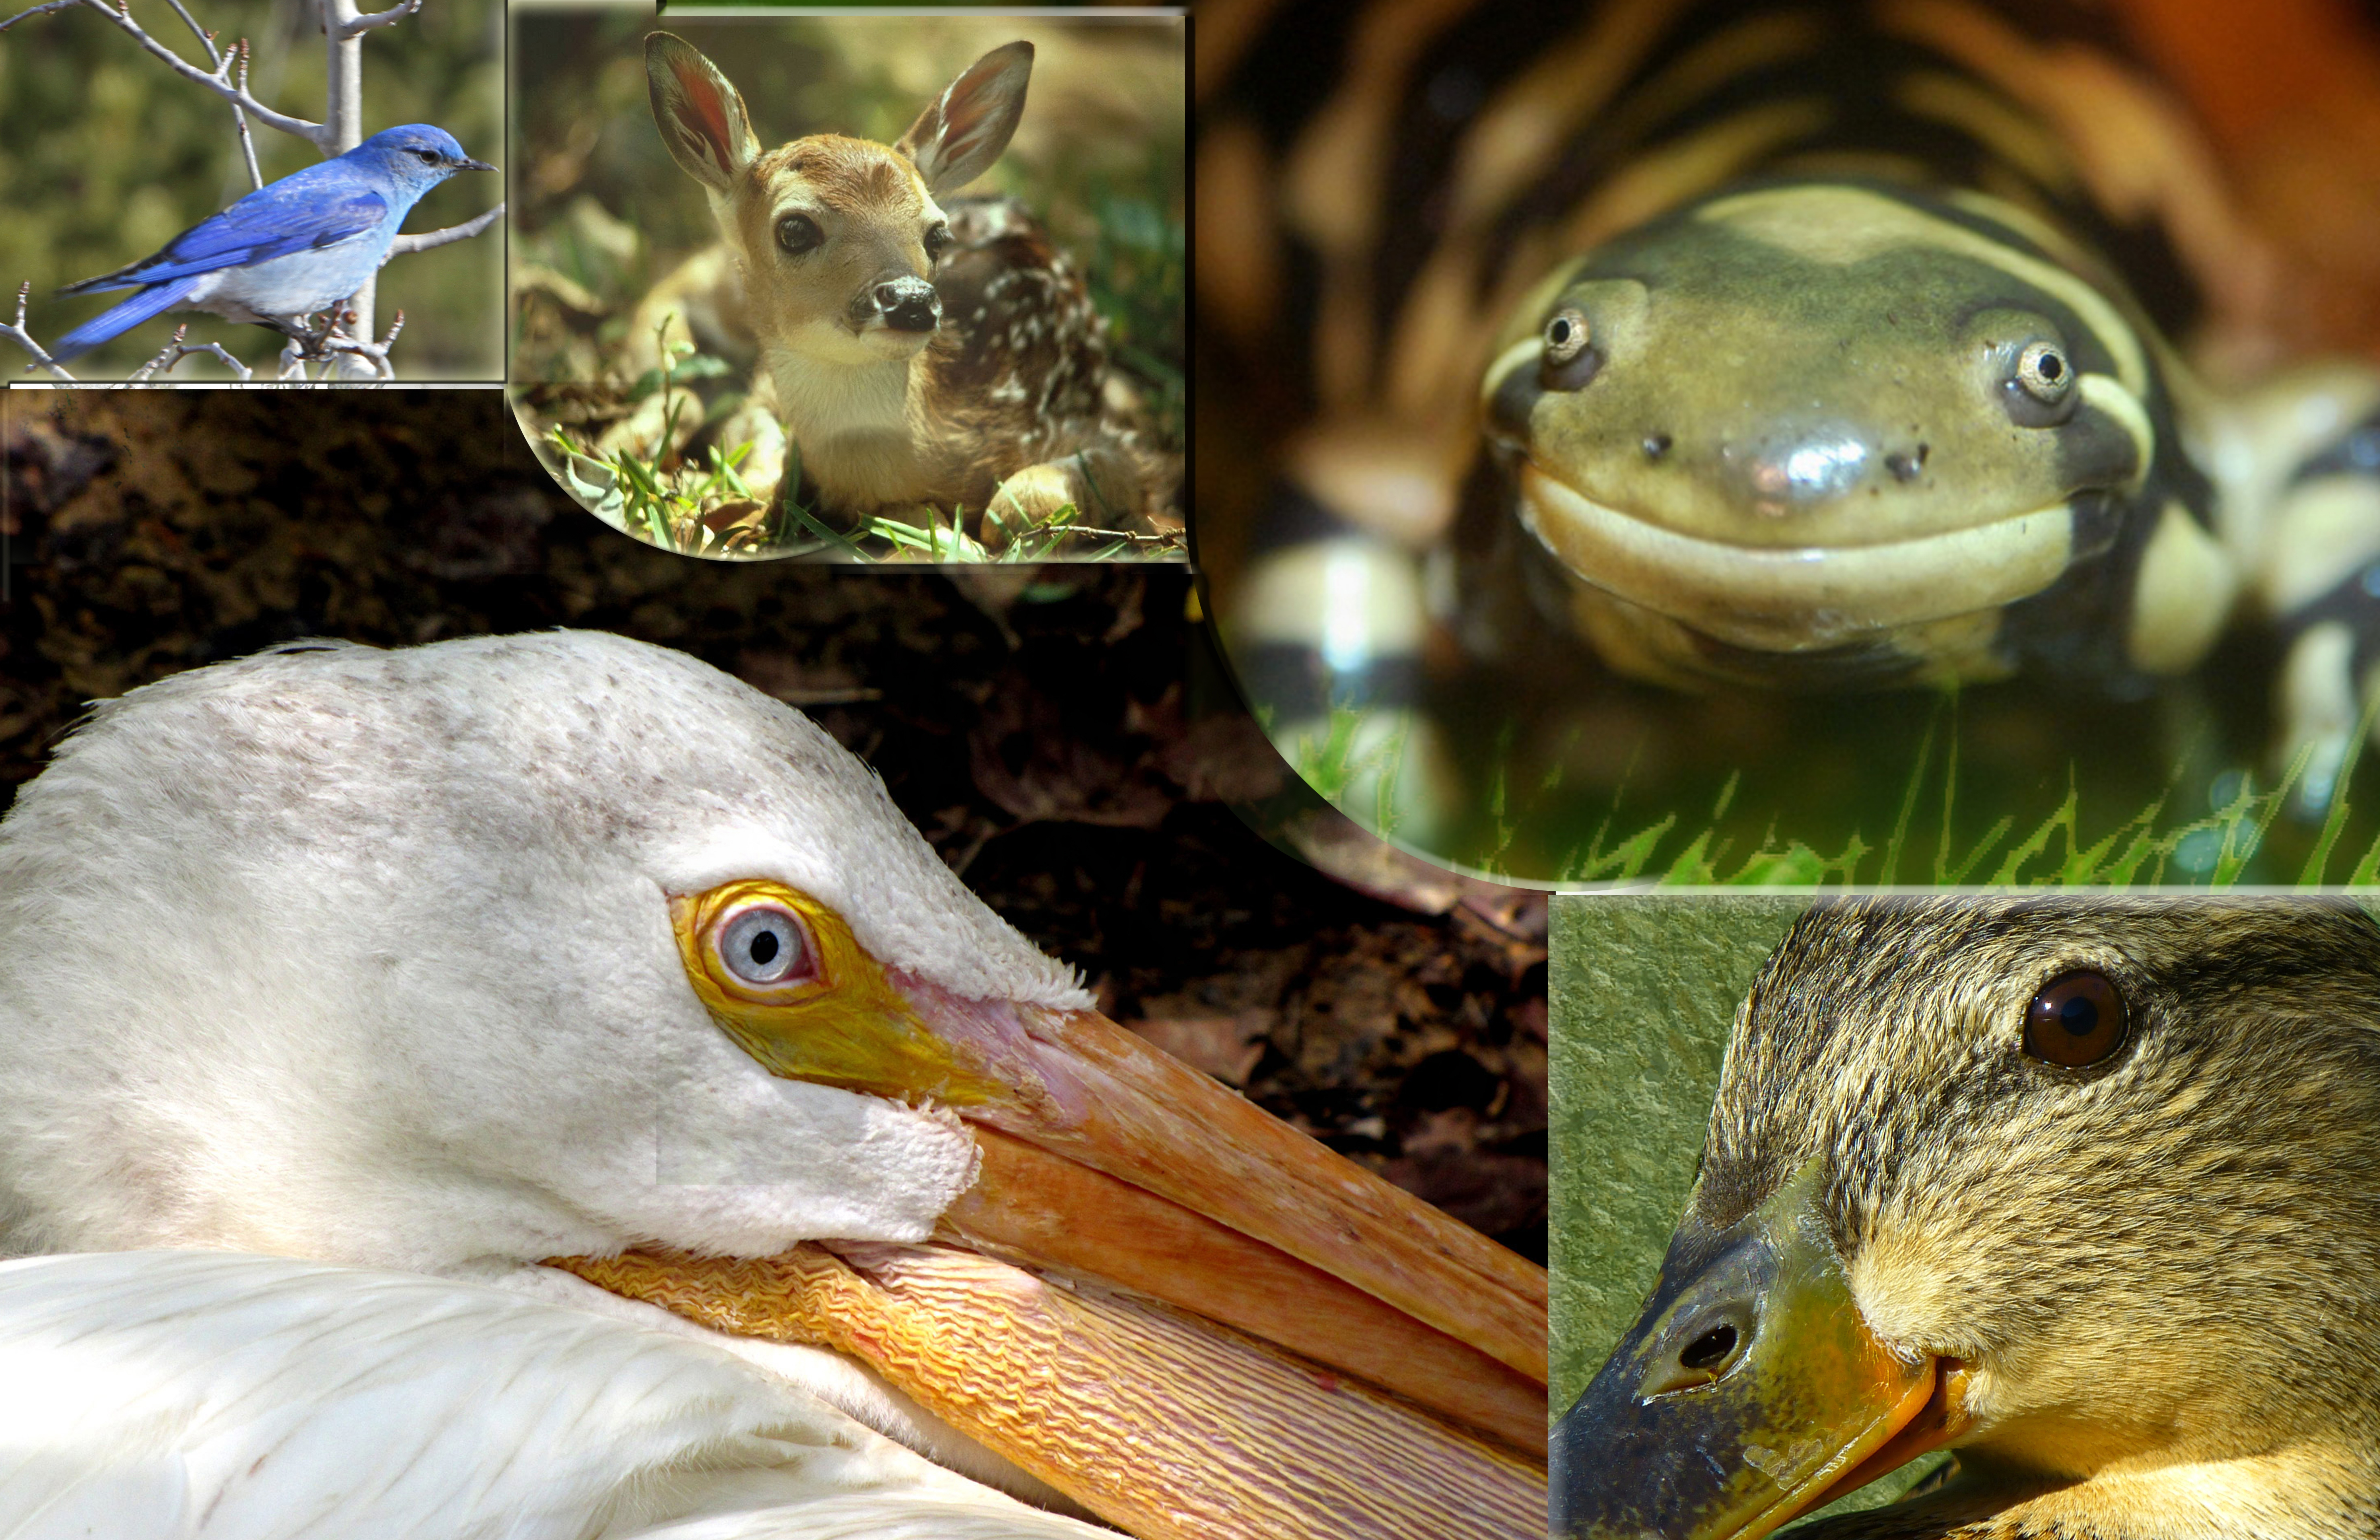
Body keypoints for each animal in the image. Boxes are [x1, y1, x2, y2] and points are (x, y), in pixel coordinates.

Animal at [622, 32, 1160, 542]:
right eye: (794, 229)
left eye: (938, 235)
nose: (912, 300)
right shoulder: (763, 397)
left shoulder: (1114, 440)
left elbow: (1014, 507)